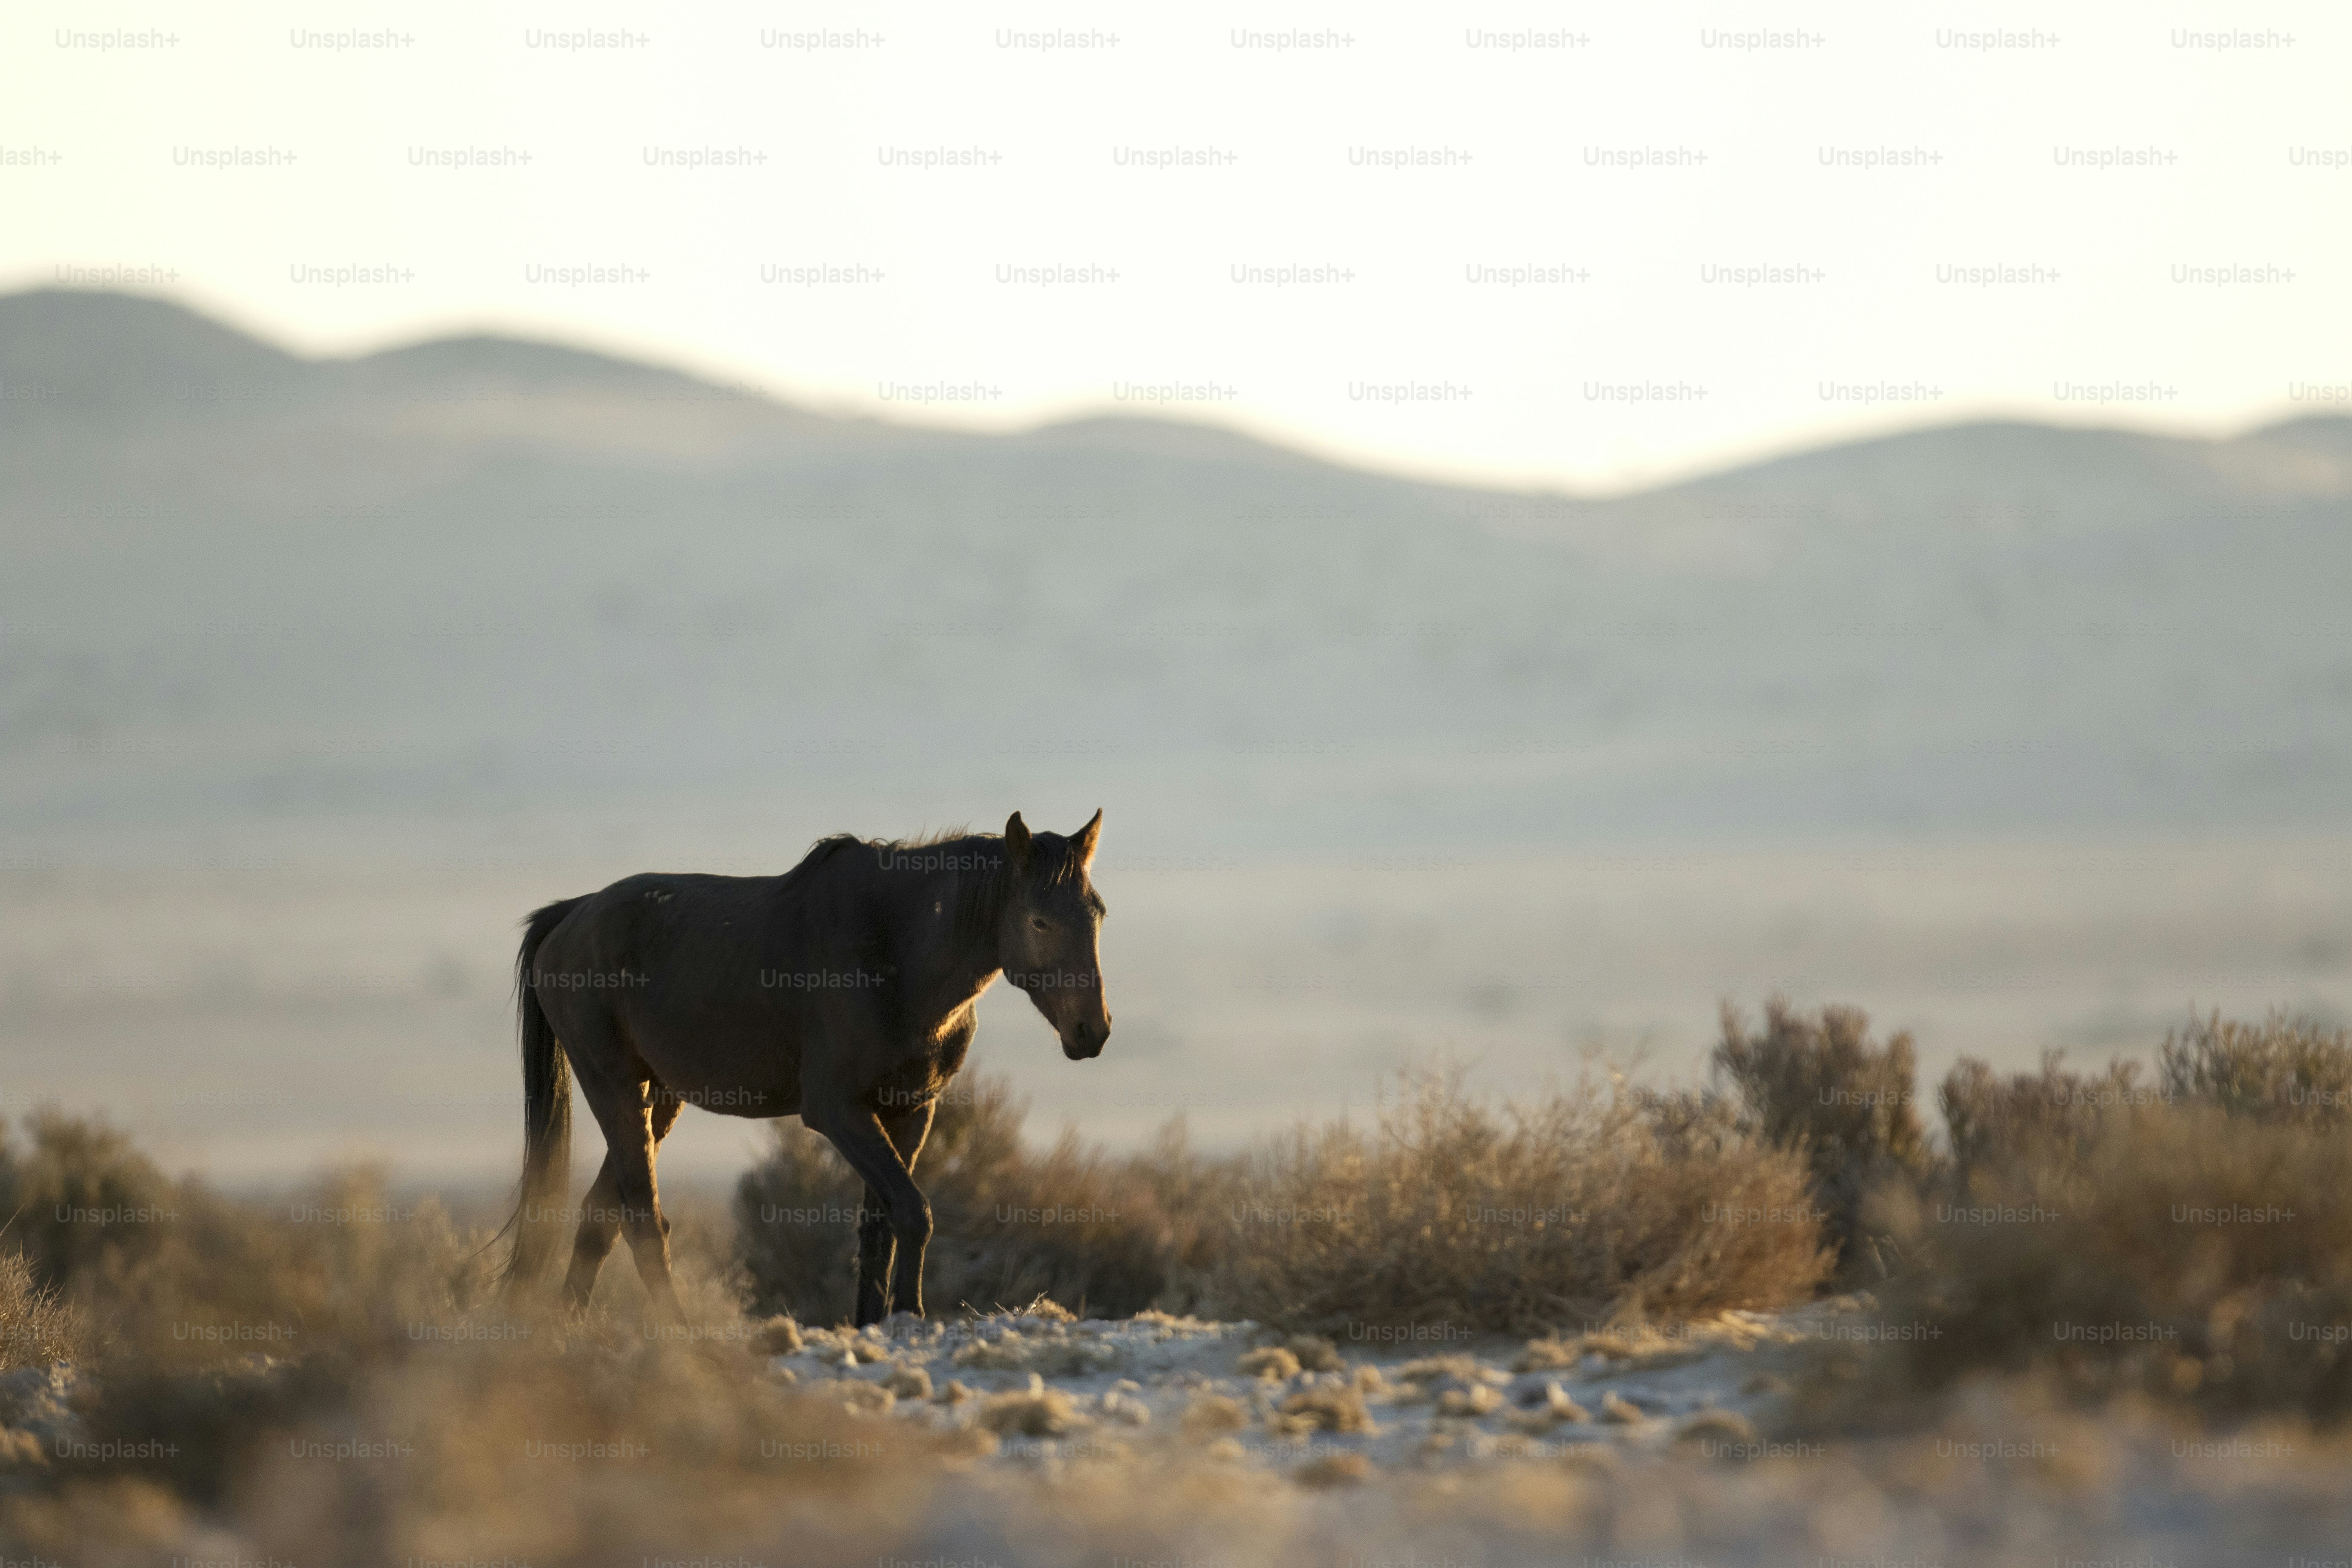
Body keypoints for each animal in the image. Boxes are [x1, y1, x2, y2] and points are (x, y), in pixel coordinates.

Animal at [500, 810, 1110, 1326]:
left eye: (1098, 914)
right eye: (1039, 922)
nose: (1093, 1030)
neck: (895, 952)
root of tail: (571, 915)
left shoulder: (910, 1110)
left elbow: (881, 1227)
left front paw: (874, 1321)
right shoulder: (838, 1111)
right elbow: (914, 1211)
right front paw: (910, 1314)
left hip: (658, 1098)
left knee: (599, 1217)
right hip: (614, 1086)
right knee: (643, 1219)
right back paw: (680, 1334)